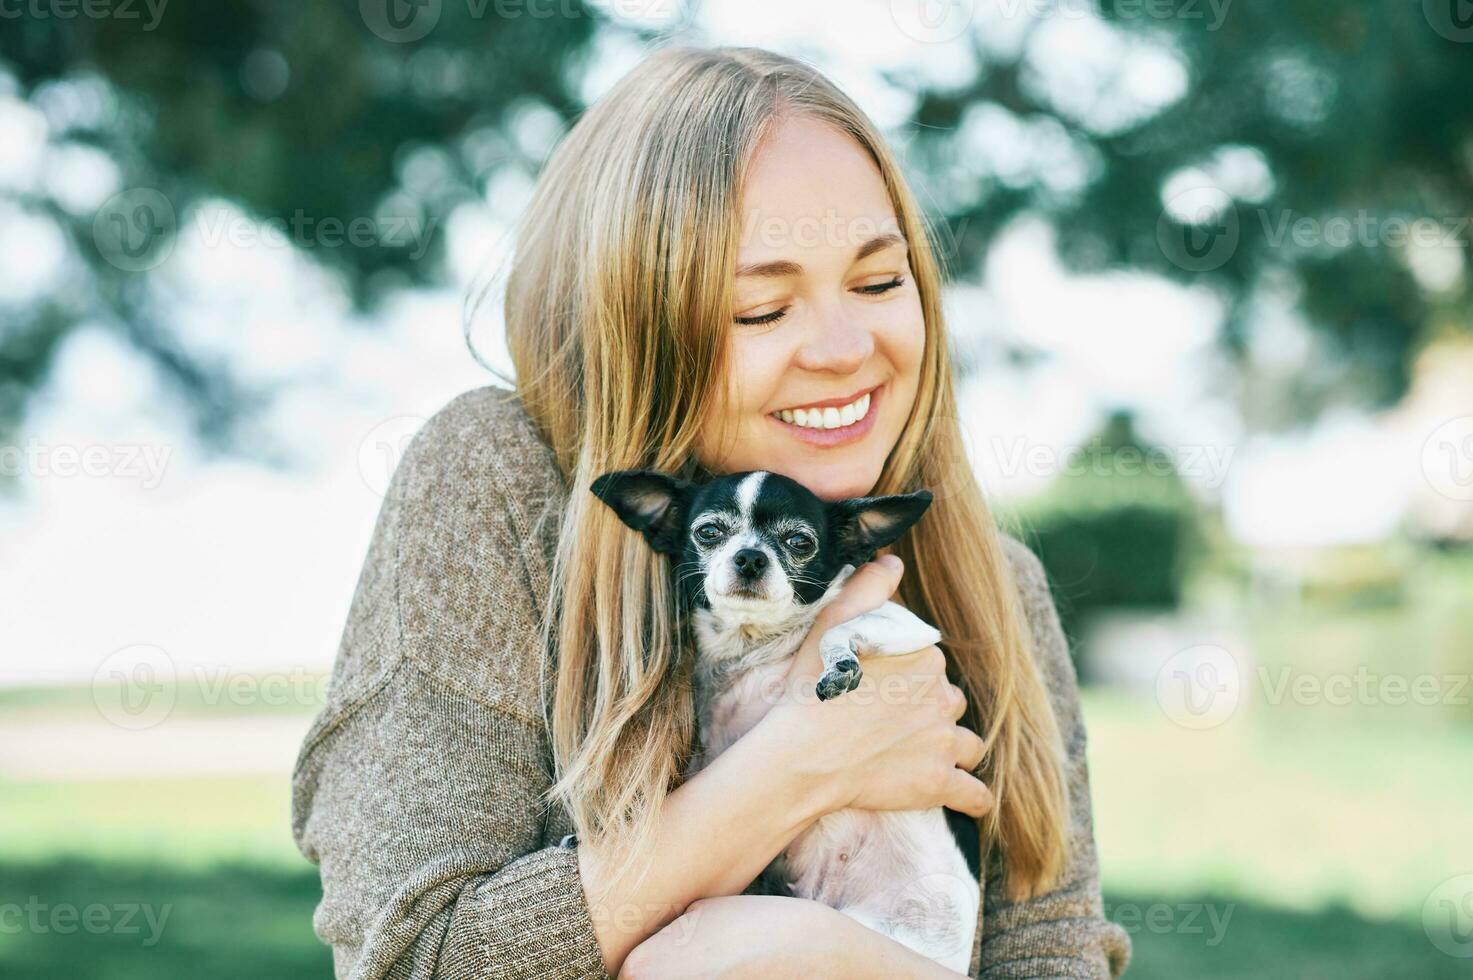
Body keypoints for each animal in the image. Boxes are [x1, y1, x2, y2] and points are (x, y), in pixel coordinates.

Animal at [586, 468, 978, 972]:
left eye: (799, 541)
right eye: (708, 532)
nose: (751, 556)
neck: (754, 645)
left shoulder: (908, 626)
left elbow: (835, 629)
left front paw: (839, 662)